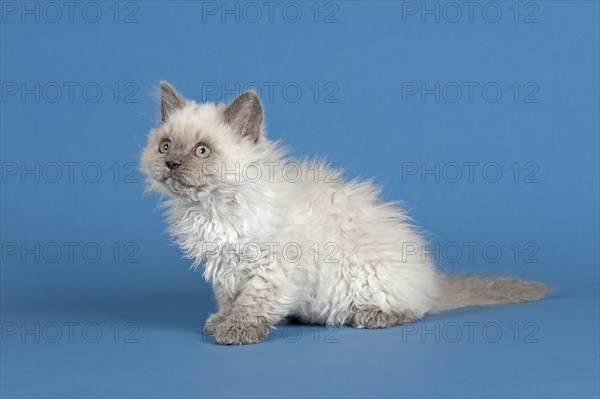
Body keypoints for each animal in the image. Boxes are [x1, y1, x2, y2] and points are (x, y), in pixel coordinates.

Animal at [139, 81, 548, 344]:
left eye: (202, 151)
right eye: (166, 146)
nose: (172, 164)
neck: (212, 207)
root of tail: (432, 283)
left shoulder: (271, 269)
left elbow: (252, 303)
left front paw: (236, 331)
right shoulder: (224, 269)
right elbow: (229, 300)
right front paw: (220, 321)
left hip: (372, 279)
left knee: (413, 310)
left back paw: (372, 316)